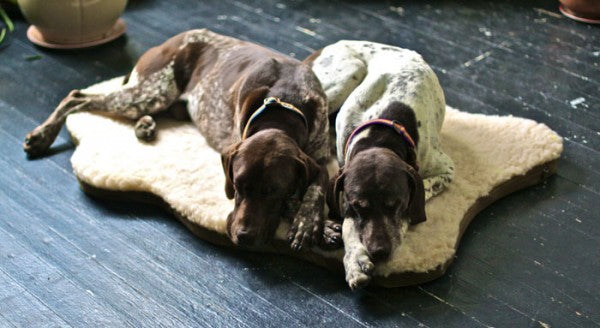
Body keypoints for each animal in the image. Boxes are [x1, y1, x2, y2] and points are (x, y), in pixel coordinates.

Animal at [23, 29, 342, 251]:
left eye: (273, 190)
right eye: (238, 185)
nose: (243, 237)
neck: (284, 105)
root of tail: (168, 41)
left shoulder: (322, 155)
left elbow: (316, 184)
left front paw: (310, 220)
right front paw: (318, 225)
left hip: (154, 98)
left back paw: (144, 126)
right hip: (150, 92)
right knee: (77, 96)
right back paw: (41, 135)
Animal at [304, 41, 454, 290]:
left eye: (396, 204)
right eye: (359, 206)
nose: (379, 252)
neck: (381, 134)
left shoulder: (446, 170)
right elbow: (348, 219)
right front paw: (355, 259)